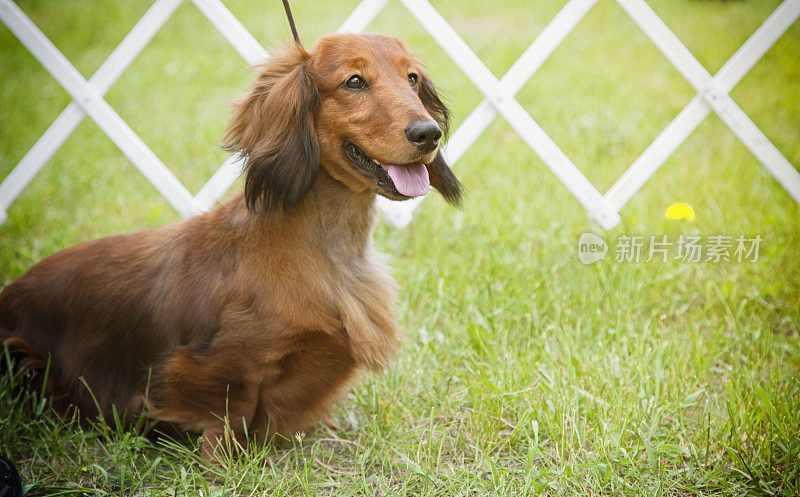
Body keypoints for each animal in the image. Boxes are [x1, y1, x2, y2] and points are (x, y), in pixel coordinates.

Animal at [0, 34, 462, 458]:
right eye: (354, 81)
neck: (327, 249)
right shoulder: (216, 364)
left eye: (412, 79)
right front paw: (224, 463)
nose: (429, 133)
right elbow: (229, 411)